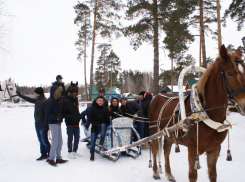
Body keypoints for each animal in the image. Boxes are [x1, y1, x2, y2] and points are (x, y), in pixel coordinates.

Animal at [149, 44, 245, 182]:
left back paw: (169, 173)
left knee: (166, 150)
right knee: (154, 148)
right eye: (230, 73)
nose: (244, 105)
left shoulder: (215, 149)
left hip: (170, 134)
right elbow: (193, 175)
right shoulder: (193, 150)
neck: (204, 113)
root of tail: (156, 96)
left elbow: (213, 174)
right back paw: (156, 172)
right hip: (154, 130)